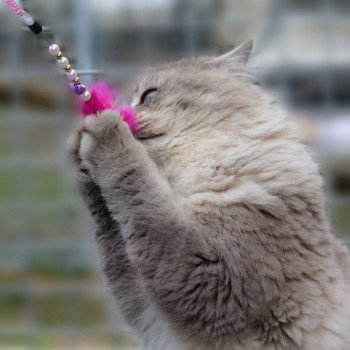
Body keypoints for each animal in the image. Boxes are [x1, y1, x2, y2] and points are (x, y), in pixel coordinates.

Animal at [67, 39, 350, 348]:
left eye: (149, 95)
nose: (115, 111)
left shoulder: (215, 278)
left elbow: (142, 194)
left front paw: (105, 132)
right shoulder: (143, 307)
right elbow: (117, 225)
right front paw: (80, 146)